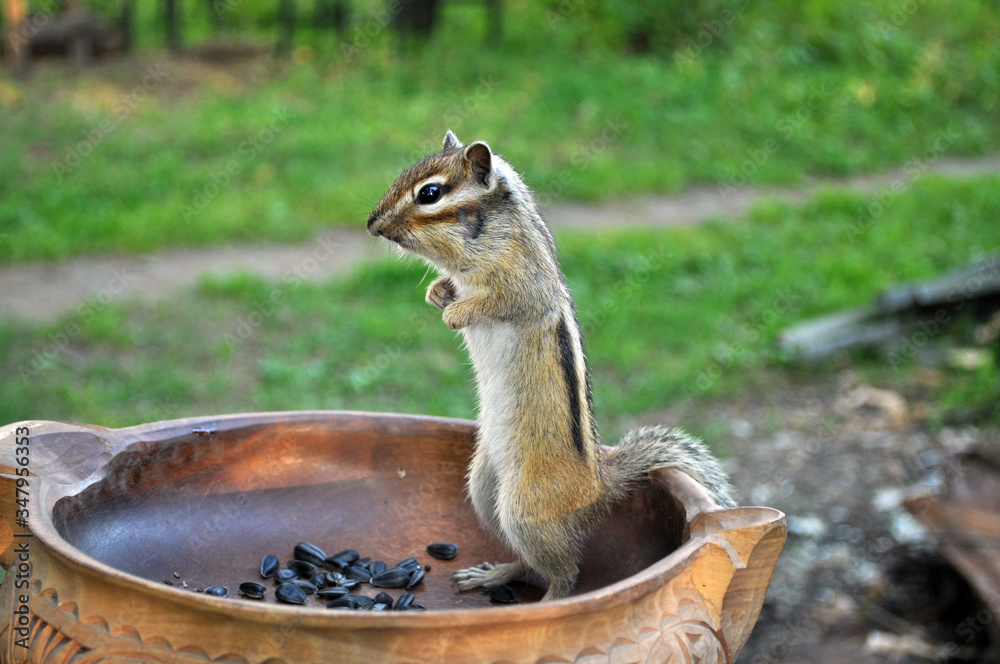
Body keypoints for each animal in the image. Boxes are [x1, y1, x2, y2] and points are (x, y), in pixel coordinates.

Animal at [367, 131, 736, 601]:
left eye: (430, 194)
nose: (372, 224)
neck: (485, 242)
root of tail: (599, 484)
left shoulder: (526, 285)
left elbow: (501, 302)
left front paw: (456, 313)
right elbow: (447, 288)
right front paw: (437, 293)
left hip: (525, 508)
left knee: (565, 574)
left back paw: (542, 603)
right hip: (485, 491)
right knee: (530, 563)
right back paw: (493, 575)